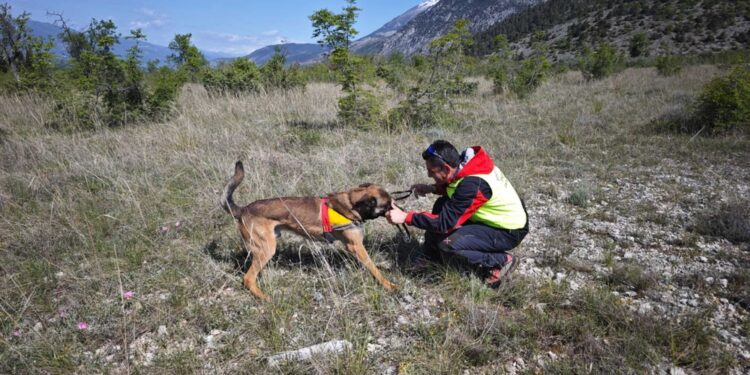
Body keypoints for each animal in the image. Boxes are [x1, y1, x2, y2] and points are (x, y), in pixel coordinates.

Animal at [220, 161, 400, 300]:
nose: (398, 208)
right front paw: (389, 285)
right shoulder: (355, 246)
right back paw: (264, 297)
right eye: (387, 205)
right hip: (267, 248)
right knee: (248, 278)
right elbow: (374, 267)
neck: (351, 202)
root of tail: (243, 210)